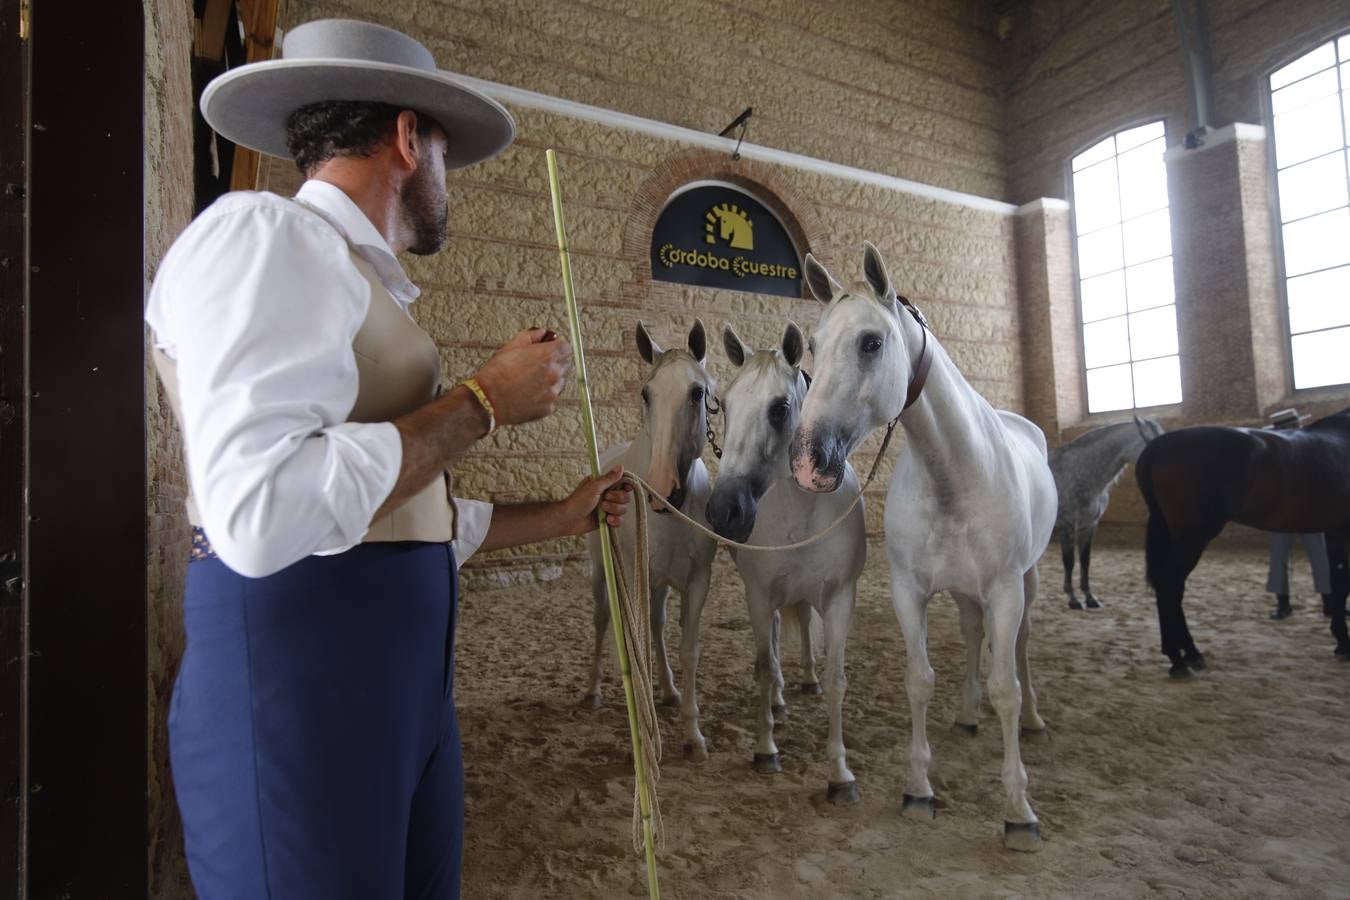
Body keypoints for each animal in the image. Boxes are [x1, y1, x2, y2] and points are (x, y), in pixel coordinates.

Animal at [585, 317, 723, 761]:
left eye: (697, 393)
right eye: (647, 393)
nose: (663, 490)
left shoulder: (697, 581)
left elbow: (687, 650)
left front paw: (693, 735)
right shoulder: (632, 579)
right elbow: (632, 647)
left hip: (658, 584)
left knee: (658, 627)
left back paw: (666, 690)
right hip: (603, 574)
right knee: (602, 621)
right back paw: (592, 691)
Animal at [707, 322, 864, 804]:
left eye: (779, 409)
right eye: (724, 405)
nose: (725, 511)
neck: (802, 511)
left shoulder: (839, 598)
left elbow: (836, 678)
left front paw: (840, 775)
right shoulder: (759, 595)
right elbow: (763, 667)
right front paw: (766, 750)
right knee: (776, 644)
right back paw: (777, 703)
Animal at [788, 244, 1058, 852]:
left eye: (871, 342)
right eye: (813, 344)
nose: (809, 463)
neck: (953, 473)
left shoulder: (1005, 590)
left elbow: (1005, 685)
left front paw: (1019, 811)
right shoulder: (909, 592)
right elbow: (920, 680)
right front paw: (918, 790)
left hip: (1025, 584)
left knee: (1021, 650)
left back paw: (1033, 720)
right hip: (964, 592)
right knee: (973, 634)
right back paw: (967, 715)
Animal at [1047, 418, 1166, 609]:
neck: (1079, 471)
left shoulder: (1089, 525)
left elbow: (1085, 561)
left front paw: (1090, 598)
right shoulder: (1068, 526)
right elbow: (1069, 562)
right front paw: (1073, 599)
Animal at [1139, 407, 1350, 674]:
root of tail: (1157, 446)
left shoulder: (1335, 532)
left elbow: (1338, 583)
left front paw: (1341, 641)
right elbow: (1344, 585)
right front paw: (1345, 642)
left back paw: (1187, 654)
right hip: (1193, 536)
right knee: (1170, 585)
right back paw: (1181, 658)